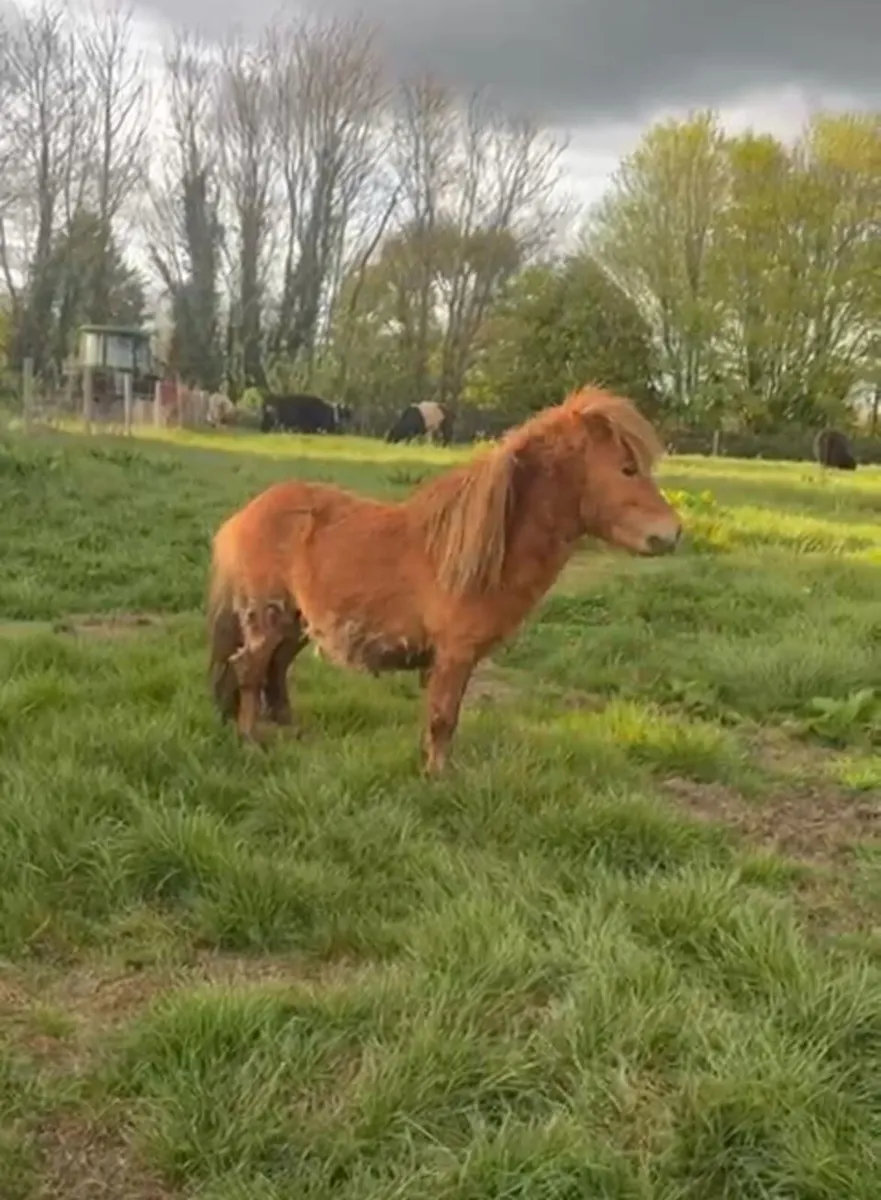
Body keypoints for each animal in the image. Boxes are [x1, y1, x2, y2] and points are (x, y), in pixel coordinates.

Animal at [207, 386, 683, 775]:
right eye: (627, 469)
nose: (673, 533)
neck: (481, 554)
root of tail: (244, 515)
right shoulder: (454, 655)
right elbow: (442, 718)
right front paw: (438, 778)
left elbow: (444, 720)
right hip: (268, 619)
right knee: (250, 669)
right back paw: (250, 741)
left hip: (297, 624)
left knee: (274, 669)